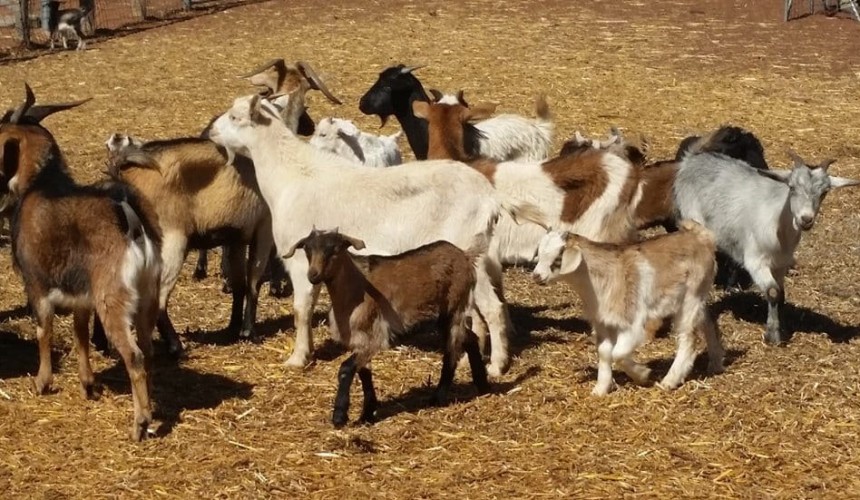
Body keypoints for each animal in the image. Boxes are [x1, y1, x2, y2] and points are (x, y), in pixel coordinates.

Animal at [0, 84, 161, 441]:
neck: (40, 184)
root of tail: (129, 218)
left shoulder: (37, 285)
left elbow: (43, 329)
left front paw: (42, 382)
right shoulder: (81, 295)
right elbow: (80, 333)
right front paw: (88, 384)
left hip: (113, 299)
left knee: (134, 355)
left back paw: (140, 423)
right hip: (148, 295)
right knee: (146, 349)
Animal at [206, 92, 548, 376]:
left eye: (235, 117)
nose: (210, 130)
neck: (290, 175)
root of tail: (489, 194)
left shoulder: (301, 260)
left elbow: (301, 310)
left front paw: (298, 357)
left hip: (470, 251)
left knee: (493, 309)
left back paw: (497, 366)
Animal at [282, 228, 490, 427]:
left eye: (334, 250)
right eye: (307, 249)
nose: (313, 275)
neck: (355, 289)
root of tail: (466, 255)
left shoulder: (374, 337)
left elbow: (346, 368)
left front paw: (340, 416)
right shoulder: (360, 339)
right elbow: (364, 373)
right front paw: (367, 413)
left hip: (454, 307)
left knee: (452, 348)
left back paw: (438, 397)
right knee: (469, 338)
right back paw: (482, 384)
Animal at [532, 221, 725, 395]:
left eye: (558, 257)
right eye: (539, 254)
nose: (536, 276)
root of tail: (702, 236)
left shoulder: (631, 322)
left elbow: (618, 353)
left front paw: (643, 375)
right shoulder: (602, 322)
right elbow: (604, 352)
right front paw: (600, 389)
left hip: (691, 297)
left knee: (688, 337)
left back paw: (670, 381)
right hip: (697, 297)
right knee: (707, 320)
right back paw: (715, 363)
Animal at [674, 146, 860, 345]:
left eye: (824, 192)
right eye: (792, 188)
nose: (806, 219)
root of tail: (692, 159)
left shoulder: (780, 263)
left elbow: (781, 294)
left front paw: (782, 327)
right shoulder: (756, 261)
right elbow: (772, 291)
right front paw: (773, 334)